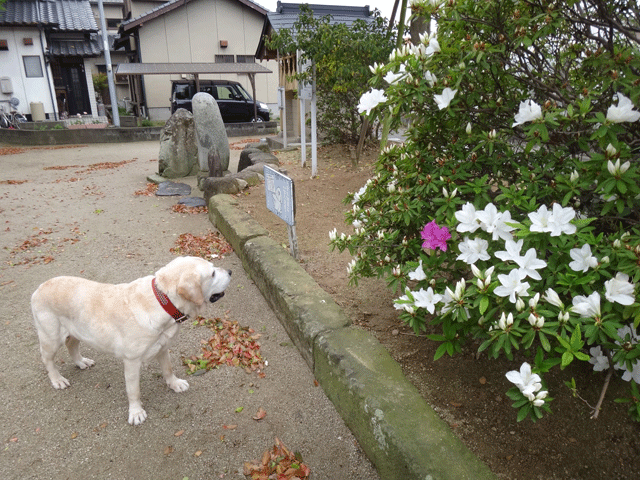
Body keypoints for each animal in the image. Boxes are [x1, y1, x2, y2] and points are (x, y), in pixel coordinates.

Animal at [31, 256, 232, 426]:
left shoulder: (163, 347)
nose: (230, 271)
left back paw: (81, 362)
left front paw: (174, 384)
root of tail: (39, 288)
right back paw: (57, 379)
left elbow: (168, 369)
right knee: (46, 359)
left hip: (76, 331)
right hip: (51, 337)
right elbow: (134, 390)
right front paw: (136, 412)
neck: (162, 302)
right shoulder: (132, 361)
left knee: (71, 345)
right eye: (212, 274)